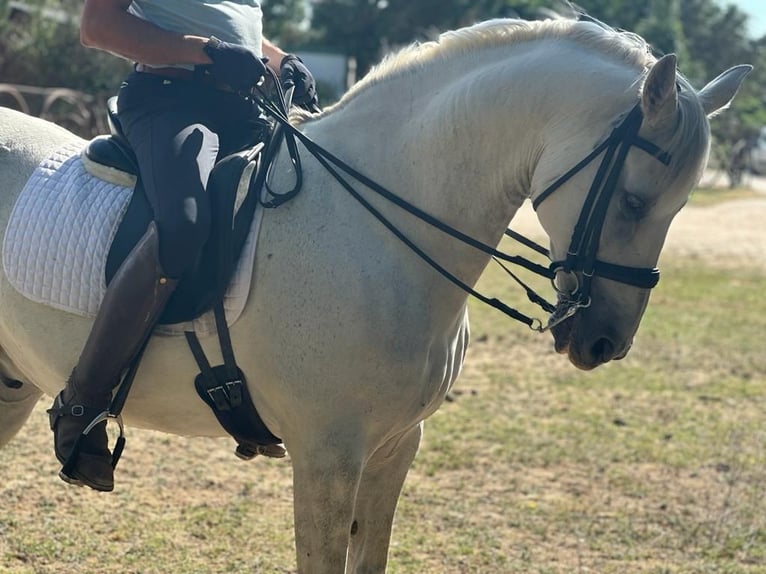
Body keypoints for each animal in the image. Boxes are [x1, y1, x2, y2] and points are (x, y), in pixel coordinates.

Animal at [0, 17, 749, 573]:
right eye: (632, 200)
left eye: (679, 206)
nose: (603, 342)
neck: (374, 230)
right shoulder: (327, 458)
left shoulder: (395, 449)